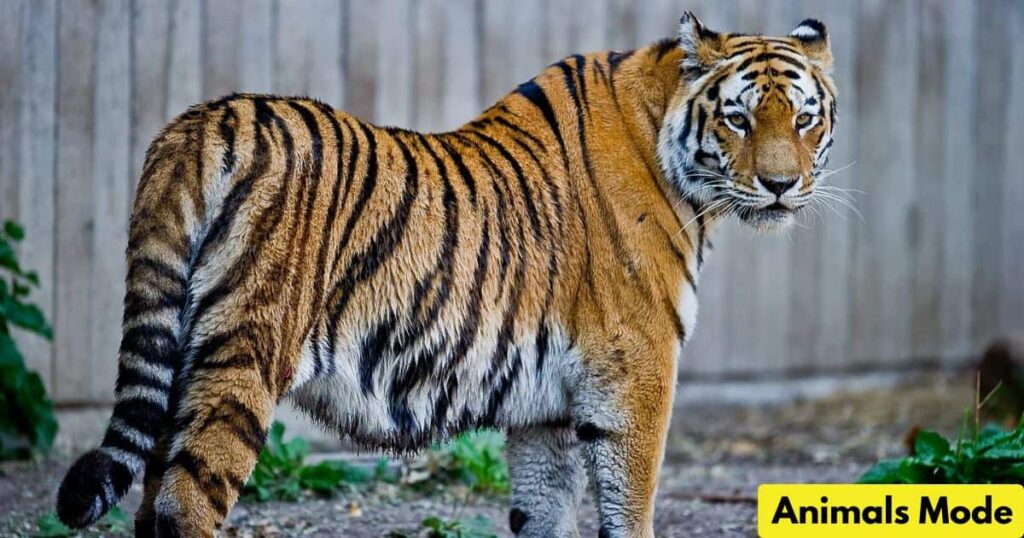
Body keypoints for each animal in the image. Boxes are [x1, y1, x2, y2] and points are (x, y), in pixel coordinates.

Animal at [56, 12, 836, 538]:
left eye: (804, 118)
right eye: (738, 119)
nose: (780, 186)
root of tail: (198, 123)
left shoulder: (546, 409)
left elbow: (544, 514)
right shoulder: (638, 374)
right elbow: (631, 509)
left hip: (180, 358)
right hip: (242, 358)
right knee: (185, 504)